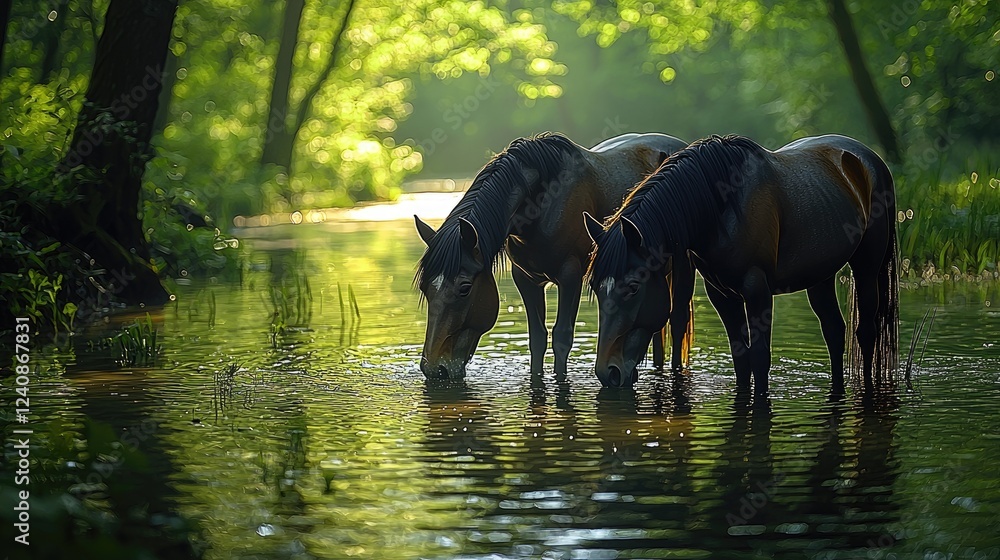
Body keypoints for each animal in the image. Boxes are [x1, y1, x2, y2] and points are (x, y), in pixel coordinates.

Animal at [414, 131, 691, 379]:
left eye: (465, 287)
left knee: (677, 322)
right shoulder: (526, 280)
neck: (540, 204)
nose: (434, 368)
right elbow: (537, 339)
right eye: (425, 287)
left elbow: (562, 338)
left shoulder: (570, 277)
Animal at [585, 134, 898, 395]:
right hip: (820, 277)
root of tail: (868, 158)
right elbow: (741, 358)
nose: (608, 373)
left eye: (633, 287)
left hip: (867, 268)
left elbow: (759, 358)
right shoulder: (722, 295)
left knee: (866, 333)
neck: (722, 207)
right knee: (834, 331)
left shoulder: (757, 290)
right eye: (596, 287)